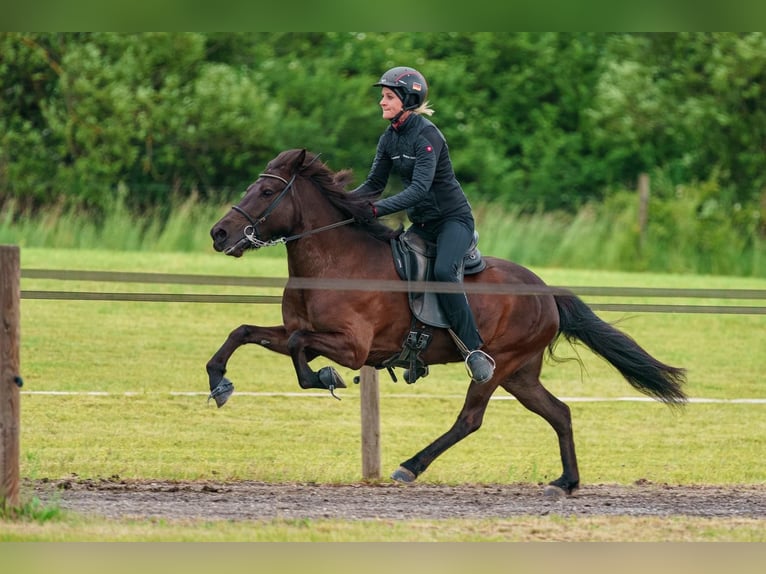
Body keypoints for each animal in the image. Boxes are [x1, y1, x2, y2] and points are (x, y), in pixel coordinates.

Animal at [207, 148, 688, 496]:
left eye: (265, 192)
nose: (219, 234)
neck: (332, 263)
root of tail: (547, 291)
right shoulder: (298, 330)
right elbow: (246, 333)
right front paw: (219, 382)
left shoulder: (353, 347)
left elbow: (298, 348)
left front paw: (324, 377)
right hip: (521, 374)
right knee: (560, 412)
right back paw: (566, 482)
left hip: (497, 364)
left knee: (470, 419)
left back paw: (410, 466)